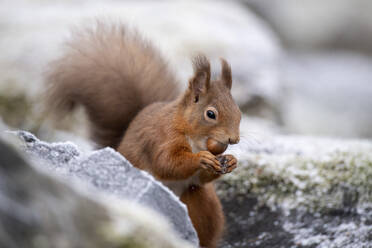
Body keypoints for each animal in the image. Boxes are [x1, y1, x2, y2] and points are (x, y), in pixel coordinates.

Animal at [45, 21, 241, 248]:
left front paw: (230, 160)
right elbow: (166, 162)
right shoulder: (162, 138)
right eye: (210, 114)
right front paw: (201, 158)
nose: (233, 139)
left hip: (200, 202)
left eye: (239, 112)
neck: (193, 136)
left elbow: (201, 178)